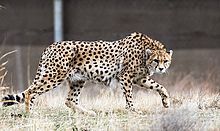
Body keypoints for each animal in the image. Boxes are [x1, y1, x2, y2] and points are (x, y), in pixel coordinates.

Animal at [2, 32, 174, 115]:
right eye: (156, 60)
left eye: (165, 61)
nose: (161, 69)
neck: (146, 52)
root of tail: (50, 46)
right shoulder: (125, 77)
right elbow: (130, 96)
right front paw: (133, 110)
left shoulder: (140, 78)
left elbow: (160, 87)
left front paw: (166, 102)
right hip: (54, 76)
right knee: (30, 93)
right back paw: (30, 113)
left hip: (78, 79)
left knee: (69, 100)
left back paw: (89, 113)